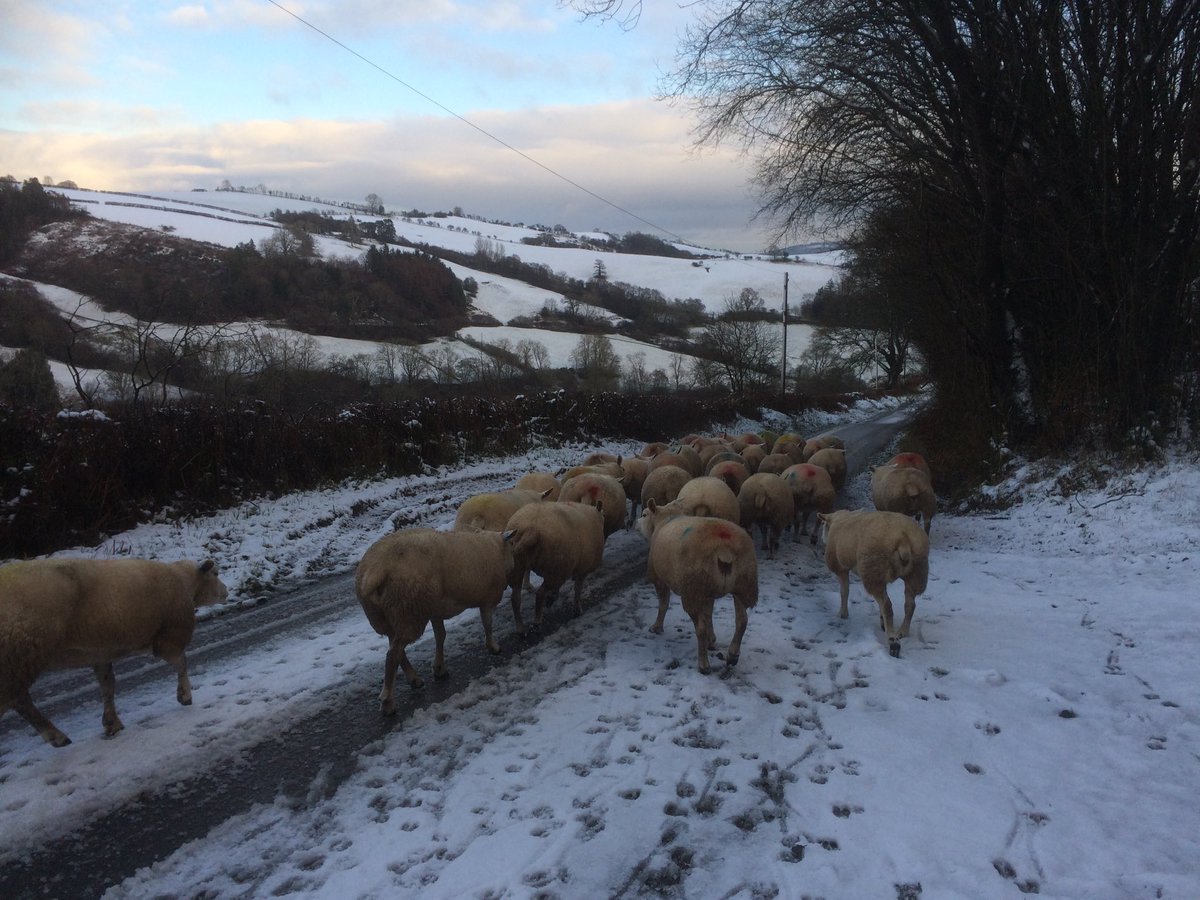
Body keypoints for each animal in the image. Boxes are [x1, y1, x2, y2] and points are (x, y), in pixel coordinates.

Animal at [0, 557, 229, 747]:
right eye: (216, 573)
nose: (227, 592)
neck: (183, 581)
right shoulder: (168, 637)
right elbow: (182, 662)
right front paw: (185, 695)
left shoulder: (99, 653)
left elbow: (108, 684)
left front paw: (111, 723)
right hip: (21, 653)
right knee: (18, 700)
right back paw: (55, 735)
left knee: (19, 700)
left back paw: (56, 736)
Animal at [356, 528, 516, 715]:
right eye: (511, 547)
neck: (496, 548)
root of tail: (374, 570)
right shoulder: (488, 600)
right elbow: (488, 624)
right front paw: (493, 647)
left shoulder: (436, 611)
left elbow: (441, 636)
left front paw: (439, 668)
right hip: (409, 611)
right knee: (393, 654)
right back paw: (388, 702)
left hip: (391, 617)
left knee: (396, 650)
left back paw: (414, 679)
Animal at [503, 499, 606, 632]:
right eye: (604, 517)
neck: (595, 517)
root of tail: (531, 530)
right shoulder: (580, 570)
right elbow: (577, 590)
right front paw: (577, 610)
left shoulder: (565, 569)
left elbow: (559, 589)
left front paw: (553, 597)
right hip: (554, 570)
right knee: (540, 594)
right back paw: (537, 621)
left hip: (518, 568)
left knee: (515, 599)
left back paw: (521, 628)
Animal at [636, 505, 759, 674]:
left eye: (644, 514)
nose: (634, 524)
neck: (664, 518)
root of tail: (724, 547)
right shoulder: (707, 593)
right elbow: (709, 614)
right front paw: (712, 640)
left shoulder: (659, 578)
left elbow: (663, 604)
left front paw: (656, 627)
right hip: (743, 584)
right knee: (742, 620)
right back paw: (732, 656)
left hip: (693, 589)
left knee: (700, 628)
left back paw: (703, 664)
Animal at [819, 509, 930, 658]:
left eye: (823, 524)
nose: (821, 538)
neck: (839, 519)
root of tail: (903, 539)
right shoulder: (882, 578)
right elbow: (879, 604)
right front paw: (882, 622)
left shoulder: (841, 568)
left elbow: (844, 592)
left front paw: (842, 614)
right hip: (915, 573)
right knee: (909, 605)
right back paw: (902, 631)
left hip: (872, 569)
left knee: (888, 606)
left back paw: (893, 643)